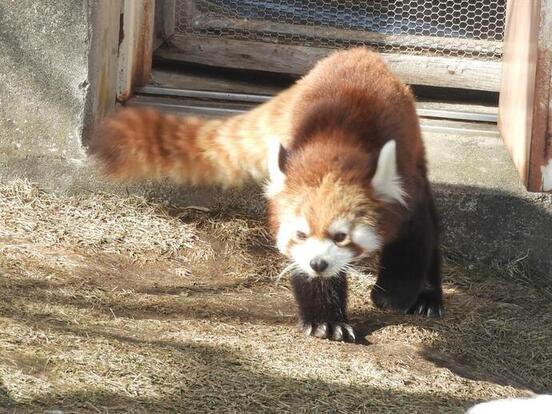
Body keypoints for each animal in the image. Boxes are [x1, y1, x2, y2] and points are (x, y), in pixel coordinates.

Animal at [90, 47, 444, 342]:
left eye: (341, 235)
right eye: (300, 234)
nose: (318, 263)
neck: (335, 143)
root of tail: (357, 52)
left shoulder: (405, 194)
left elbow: (414, 243)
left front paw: (393, 294)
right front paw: (326, 320)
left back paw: (428, 298)